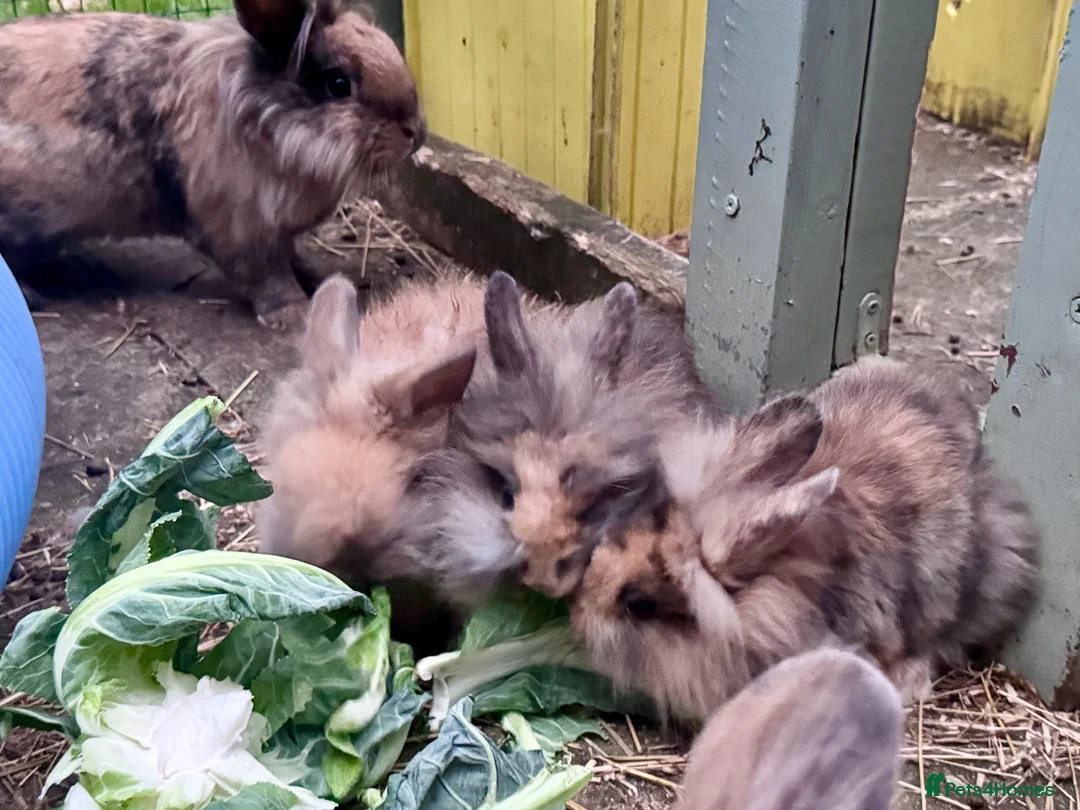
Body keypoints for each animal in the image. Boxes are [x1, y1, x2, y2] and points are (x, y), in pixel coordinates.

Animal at [0, 0, 424, 329]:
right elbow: (268, 278)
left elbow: (293, 258)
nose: (416, 133)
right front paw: (295, 313)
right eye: (338, 85)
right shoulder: (241, 232)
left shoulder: (277, 231)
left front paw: (317, 278)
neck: (266, 123)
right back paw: (36, 295)